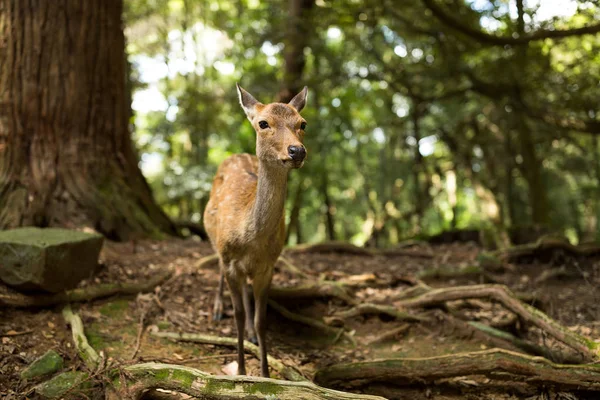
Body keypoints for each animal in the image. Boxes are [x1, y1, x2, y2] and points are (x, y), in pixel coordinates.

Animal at [204, 84, 310, 378]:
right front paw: (240, 369)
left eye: (302, 123)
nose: (297, 151)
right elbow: (239, 315)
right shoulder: (230, 260)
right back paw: (217, 309)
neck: (250, 239)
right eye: (263, 123)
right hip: (215, 241)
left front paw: (265, 374)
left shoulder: (268, 266)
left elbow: (262, 320)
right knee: (219, 268)